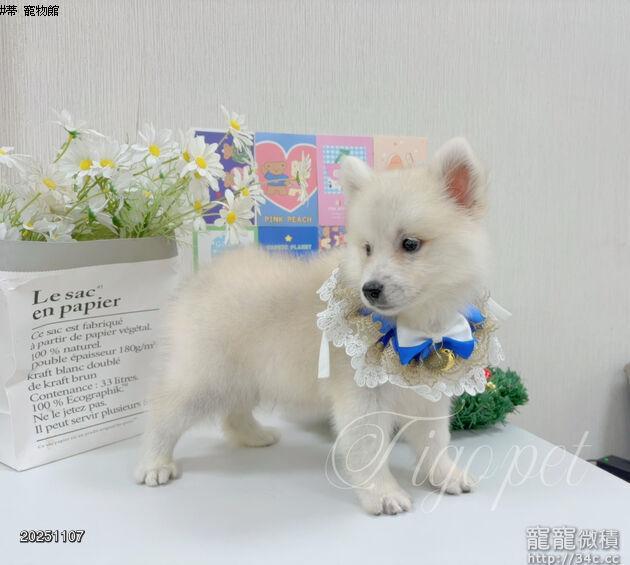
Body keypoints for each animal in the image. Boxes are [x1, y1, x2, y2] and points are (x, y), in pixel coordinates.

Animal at [135, 137, 489, 515]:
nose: (370, 288)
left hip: (246, 376)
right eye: (367, 248)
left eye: (410, 244)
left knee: (233, 413)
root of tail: (200, 280)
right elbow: (369, 449)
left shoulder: (426, 394)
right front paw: (382, 494)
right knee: (164, 412)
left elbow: (435, 440)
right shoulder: (361, 397)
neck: (410, 330)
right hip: (204, 377)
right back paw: (154, 463)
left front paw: (444, 475)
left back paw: (255, 436)